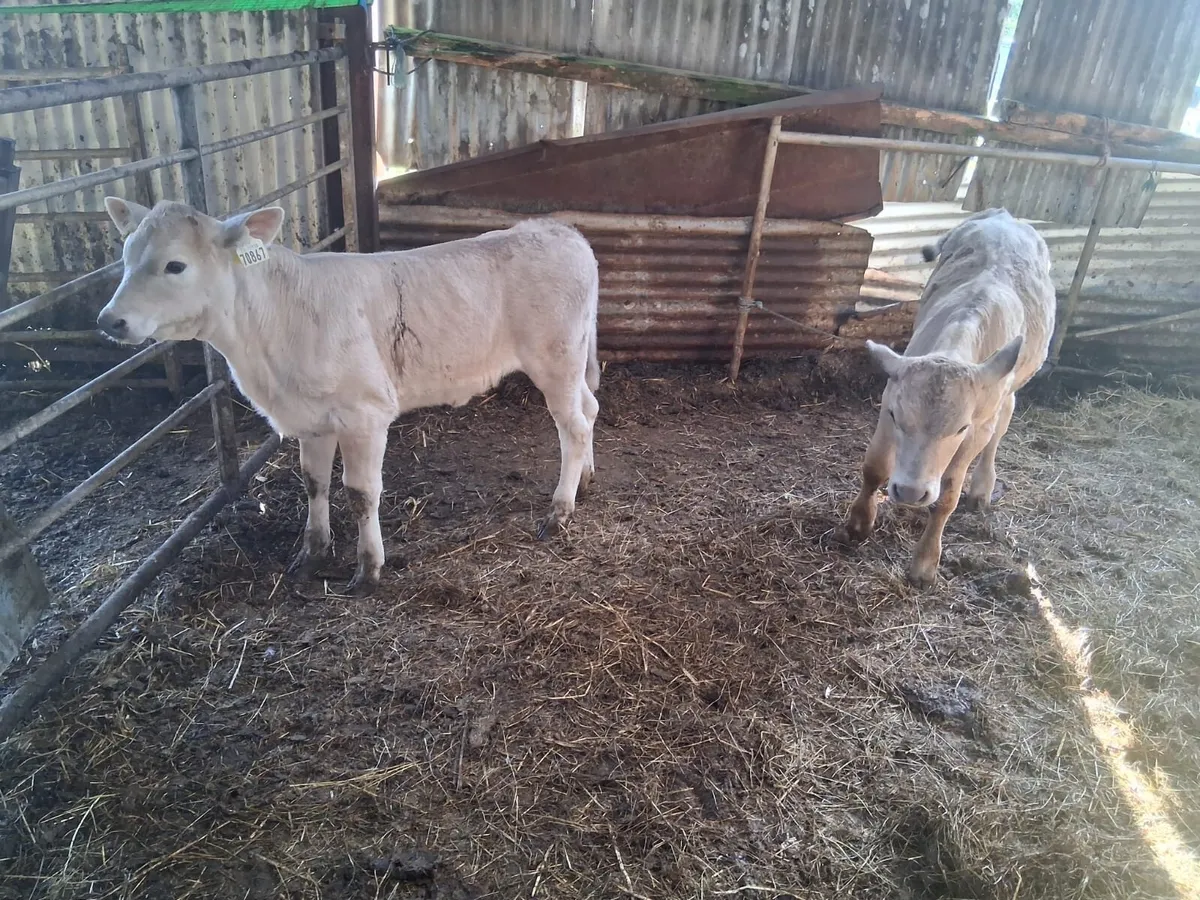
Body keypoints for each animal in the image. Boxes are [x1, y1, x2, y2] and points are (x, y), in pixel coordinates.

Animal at [97, 199, 601, 595]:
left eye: (175, 265)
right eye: (125, 256)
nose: (108, 319)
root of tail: (561, 231)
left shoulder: (366, 414)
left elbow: (360, 493)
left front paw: (368, 569)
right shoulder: (311, 419)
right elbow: (313, 483)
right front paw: (311, 552)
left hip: (555, 357)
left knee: (573, 427)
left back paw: (559, 510)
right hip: (572, 360)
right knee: (590, 408)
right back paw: (586, 478)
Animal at [841, 208, 1056, 585]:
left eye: (960, 428)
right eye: (898, 418)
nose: (910, 493)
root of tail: (1003, 216)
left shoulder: (978, 426)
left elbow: (949, 493)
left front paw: (925, 563)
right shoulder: (888, 399)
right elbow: (875, 467)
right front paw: (859, 522)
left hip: (1007, 393)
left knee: (1002, 425)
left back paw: (983, 488)